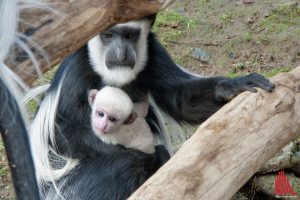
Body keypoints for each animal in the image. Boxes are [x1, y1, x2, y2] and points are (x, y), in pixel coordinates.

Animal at [30, 14, 274, 198]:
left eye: (130, 35)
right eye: (108, 36)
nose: (121, 54)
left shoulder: (154, 52)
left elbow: (182, 101)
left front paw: (232, 86)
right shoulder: (76, 70)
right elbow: (61, 132)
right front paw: (136, 153)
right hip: (68, 189)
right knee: (123, 164)